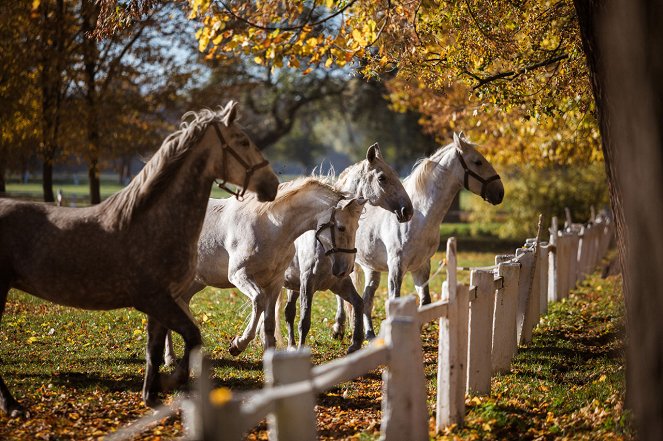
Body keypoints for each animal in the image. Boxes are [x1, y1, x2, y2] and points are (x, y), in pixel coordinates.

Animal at [0, 101, 278, 414]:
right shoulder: (154, 299)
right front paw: (170, 381)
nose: (273, 184)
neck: (152, 223)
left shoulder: (160, 303)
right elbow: (192, 337)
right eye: (242, 141)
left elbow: (153, 350)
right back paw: (12, 405)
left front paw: (151, 396)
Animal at [163, 175, 366, 360]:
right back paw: (170, 358)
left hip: (196, 282)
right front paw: (238, 344)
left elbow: (269, 323)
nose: (346, 268)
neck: (270, 227)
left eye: (357, 227)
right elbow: (259, 302)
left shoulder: (274, 282)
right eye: (341, 227)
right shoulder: (240, 276)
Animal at [280, 143, 410, 352]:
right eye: (382, 177)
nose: (408, 210)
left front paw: (355, 343)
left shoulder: (338, 283)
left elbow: (358, 303)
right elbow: (305, 321)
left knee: (288, 311)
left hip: (293, 285)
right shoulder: (307, 283)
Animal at [342, 131, 504, 336]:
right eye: (478, 162)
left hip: (371, 268)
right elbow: (394, 301)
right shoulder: (396, 267)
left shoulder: (422, 266)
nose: (500, 193)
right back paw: (338, 329)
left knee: (367, 298)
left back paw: (370, 334)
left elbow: (425, 304)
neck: (421, 217)